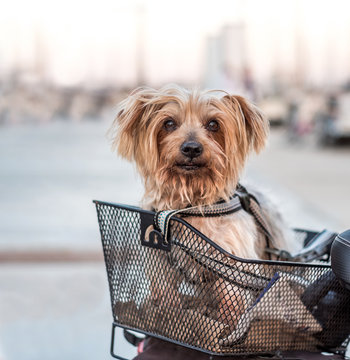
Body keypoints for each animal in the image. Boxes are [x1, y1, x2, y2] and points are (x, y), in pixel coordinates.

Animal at [108, 84, 292, 332]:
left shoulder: (233, 259)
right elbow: (165, 290)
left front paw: (226, 324)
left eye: (213, 124)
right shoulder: (160, 259)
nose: (192, 148)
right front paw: (170, 314)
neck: (189, 205)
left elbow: (231, 296)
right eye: (169, 123)